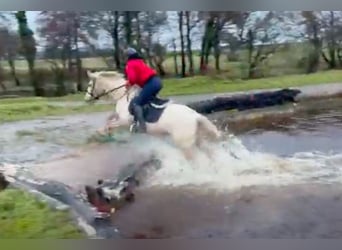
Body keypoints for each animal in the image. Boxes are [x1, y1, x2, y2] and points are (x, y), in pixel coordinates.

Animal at [83, 70, 222, 160]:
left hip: (185, 144)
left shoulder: (125, 122)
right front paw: (103, 135)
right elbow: (109, 120)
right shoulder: (120, 119)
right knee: (209, 153)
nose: (86, 100)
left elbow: (109, 125)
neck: (122, 95)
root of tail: (195, 116)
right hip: (197, 140)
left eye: (89, 84)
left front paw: (101, 135)